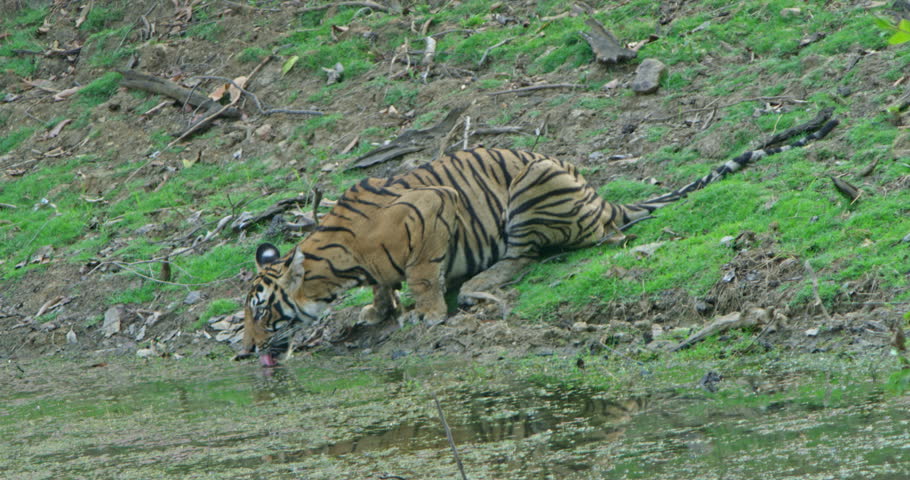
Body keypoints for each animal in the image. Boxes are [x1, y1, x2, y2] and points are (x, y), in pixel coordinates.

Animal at [243, 118, 838, 365]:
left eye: (263, 312)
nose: (244, 349)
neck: (338, 266)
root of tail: (599, 195)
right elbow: (384, 287)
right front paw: (378, 310)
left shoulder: (431, 208)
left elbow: (421, 272)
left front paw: (427, 314)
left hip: (531, 190)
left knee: (535, 254)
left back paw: (477, 284)